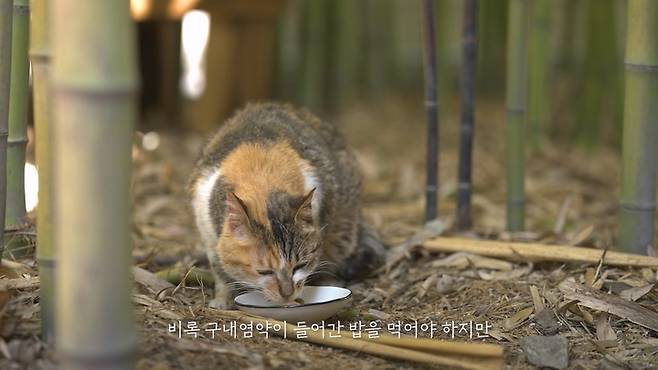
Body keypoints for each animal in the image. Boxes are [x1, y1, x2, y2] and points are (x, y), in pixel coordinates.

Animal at [187, 102, 384, 308]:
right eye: (264, 272)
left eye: (300, 266)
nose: (287, 293)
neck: (261, 177)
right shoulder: (206, 226)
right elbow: (220, 268)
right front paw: (222, 300)